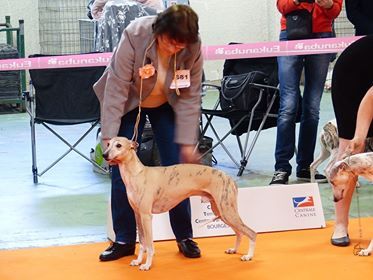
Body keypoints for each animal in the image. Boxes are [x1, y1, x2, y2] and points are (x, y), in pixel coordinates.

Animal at [103, 137, 258, 270]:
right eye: (108, 144)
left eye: (119, 145)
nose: (104, 155)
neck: (137, 174)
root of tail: (228, 178)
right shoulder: (137, 214)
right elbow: (142, 242)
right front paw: (138, 261)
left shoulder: (146, 216)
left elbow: (149, 245)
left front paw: (147, 265)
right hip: (221, 211)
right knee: (239, 232)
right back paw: (234, 250)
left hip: (227, 210)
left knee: (251, 232)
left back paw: (248, 256)